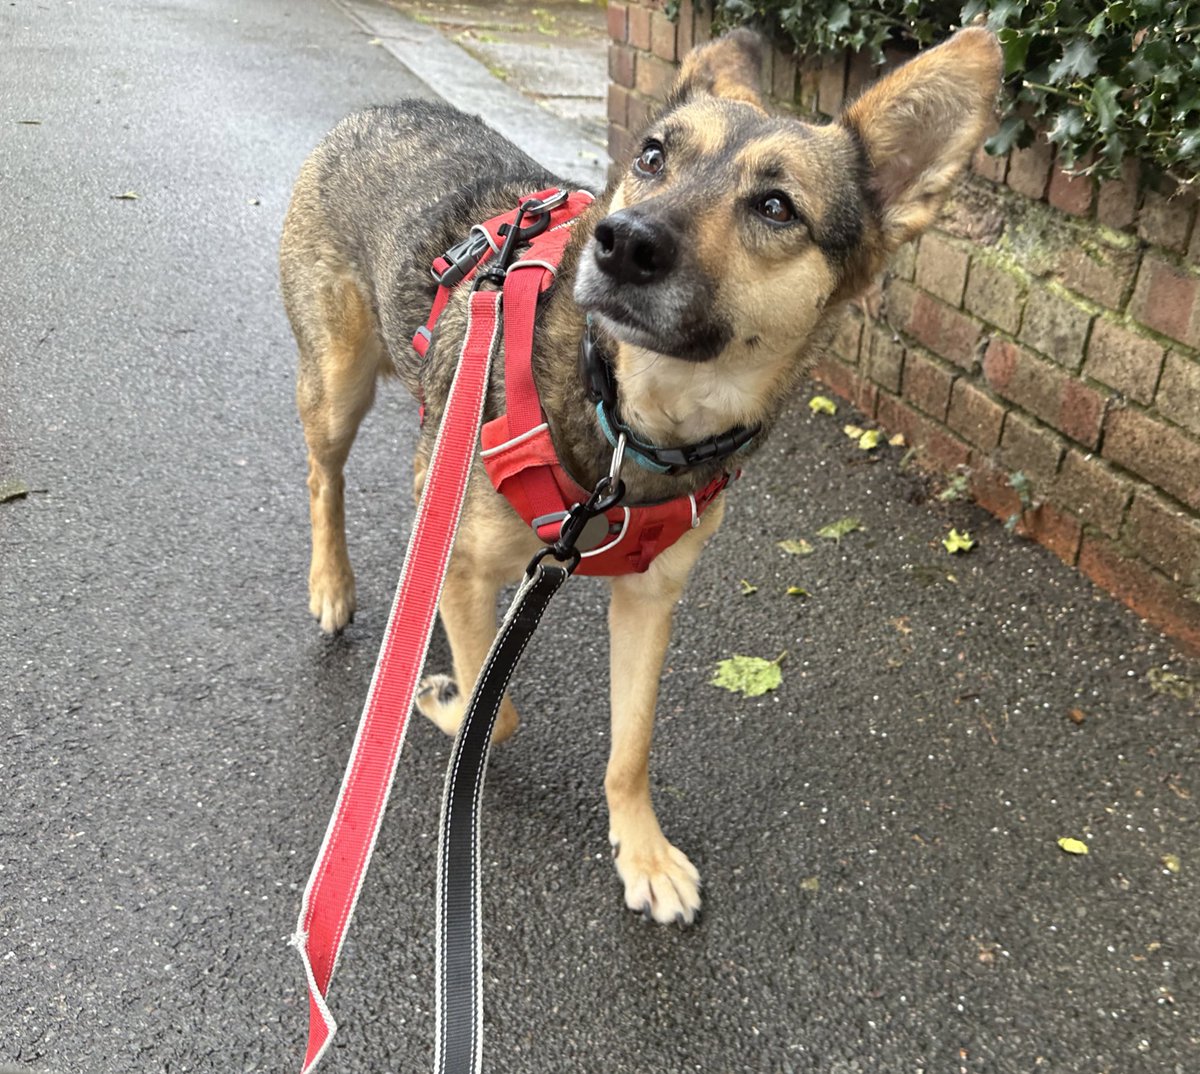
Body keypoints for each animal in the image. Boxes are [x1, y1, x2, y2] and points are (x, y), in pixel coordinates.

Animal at [280, 29, 1003, 926]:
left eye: (777, 207)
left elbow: (630, 744)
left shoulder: (650, 598)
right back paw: (332, 585)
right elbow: (497, 709)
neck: (634, 420)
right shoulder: (467, 562)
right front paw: (449, 702)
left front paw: (643, 852)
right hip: (337, 384)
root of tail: (387, 108)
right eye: (654, 156)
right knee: (325, 477)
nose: (623, 242)